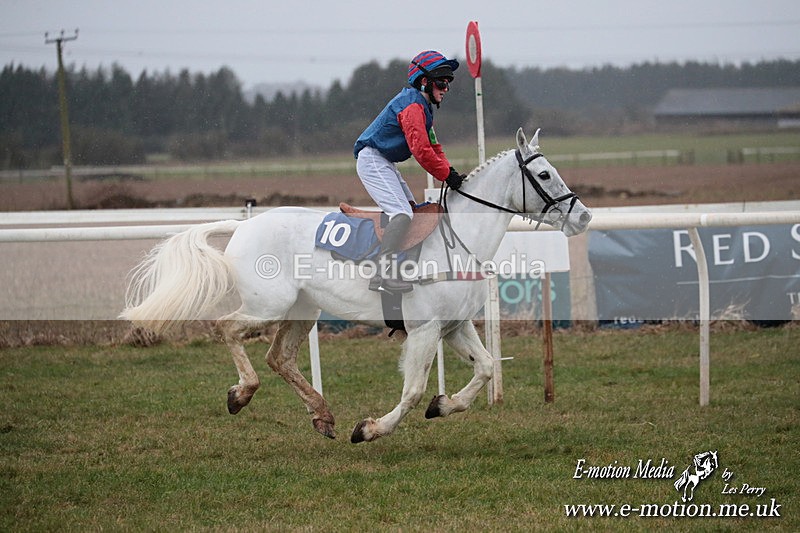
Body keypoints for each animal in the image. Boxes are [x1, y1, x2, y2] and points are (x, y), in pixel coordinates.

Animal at [121, 127, 592, 443]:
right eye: (544, 175)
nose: (584, 215)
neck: (458, 239)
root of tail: (244, 225)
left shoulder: (455, 326)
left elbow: (487, 367)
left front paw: (444, 405)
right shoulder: (424, 330)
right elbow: (413, 389)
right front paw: (370, 428)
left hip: (303, 309)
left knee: (280, 357)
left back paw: (321, 415)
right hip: (267, 305)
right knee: (228, 328)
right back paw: (242, 393)